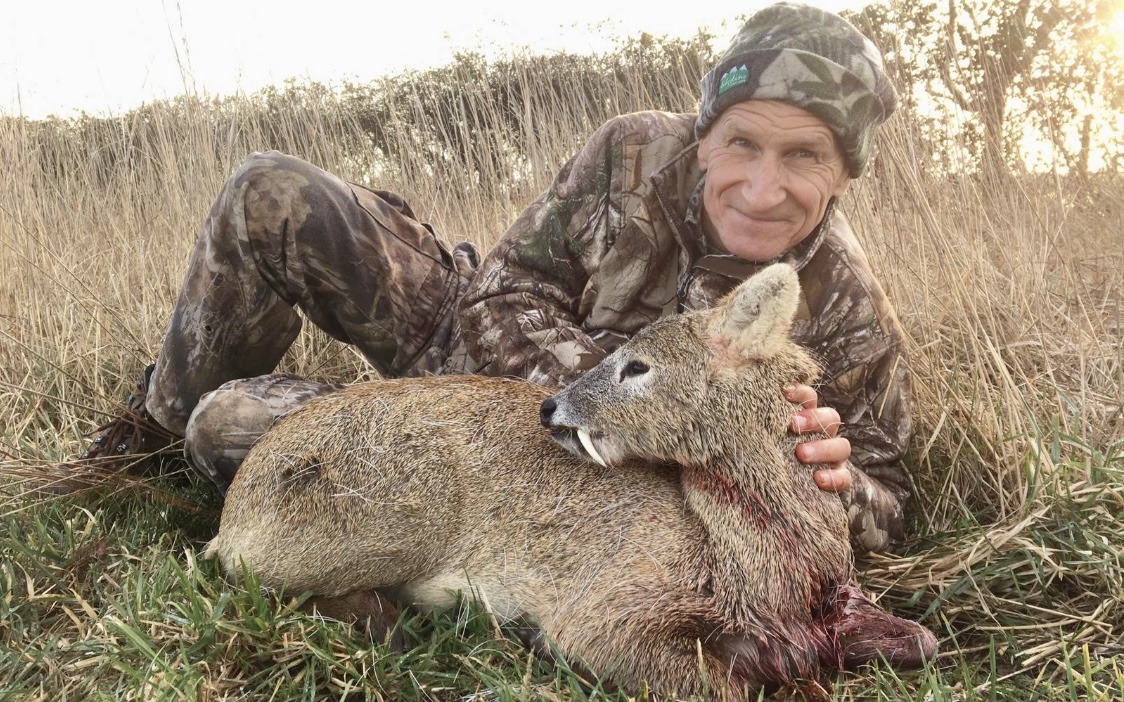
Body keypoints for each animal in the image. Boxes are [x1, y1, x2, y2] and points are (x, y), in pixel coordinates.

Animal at [206, 263, 937, 699]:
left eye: (637, 366)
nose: (551, 407)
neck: (760, 575)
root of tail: (235, 509)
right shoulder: (606, 614)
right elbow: (726, 687)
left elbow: (924, 642)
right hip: (388, 515)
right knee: (257, 577)